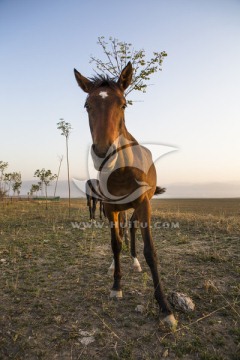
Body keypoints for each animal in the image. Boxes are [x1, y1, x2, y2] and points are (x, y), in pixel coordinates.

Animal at [74, 62, 177, 330]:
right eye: (87, 105)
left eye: (123, 104)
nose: (103, 153)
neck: (122, 171)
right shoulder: (110, 207)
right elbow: (114, 243)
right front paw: (116, 286)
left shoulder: (144, 206)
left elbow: (150, 251)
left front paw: (165, 308)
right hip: (118, 209)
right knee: (120, 233)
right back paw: (115, 264)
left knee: (131, 228)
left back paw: (135, 261)